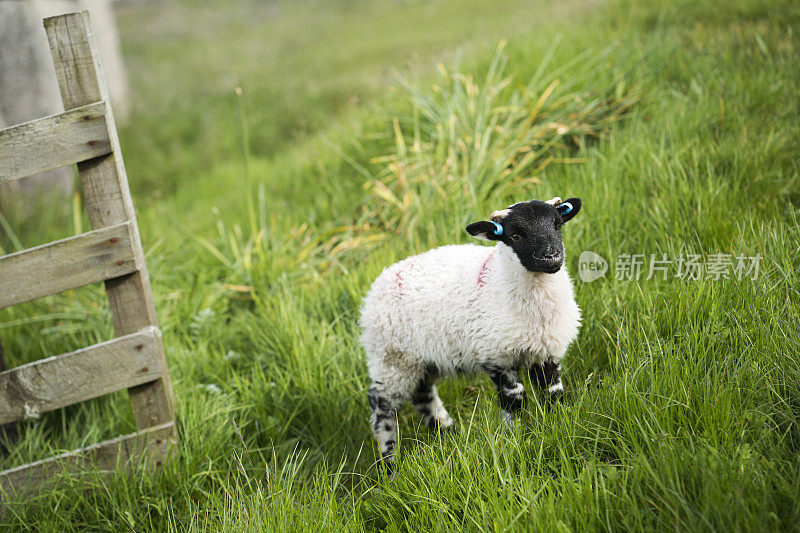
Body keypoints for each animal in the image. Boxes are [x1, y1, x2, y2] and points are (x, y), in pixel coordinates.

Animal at [360, 195, 580, 470]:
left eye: (557, 225)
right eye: (515, 235)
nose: (551, 256)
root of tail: (377, 286)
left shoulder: (548, 350)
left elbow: (553, 393)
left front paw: (557, 425)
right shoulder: (496, 355)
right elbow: (515, 398)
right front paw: (515, 437)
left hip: (422, 359)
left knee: (423, 395)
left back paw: (447, 434)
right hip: (392, 357)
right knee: (382, 406)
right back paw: (389, 462)